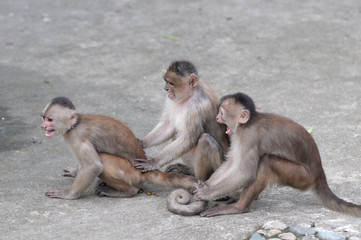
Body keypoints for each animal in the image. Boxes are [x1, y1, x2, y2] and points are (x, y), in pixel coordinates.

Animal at [40, 95, 197, 199]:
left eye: (50, 119)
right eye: (43, 117)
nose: (43, 126)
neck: (74, 125)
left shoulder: (76, 136)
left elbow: (93, 166)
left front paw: (67, 194)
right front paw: (74, 172)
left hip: (131, 174)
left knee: (103, 160)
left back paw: (128, 191)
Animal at [167, 92, 360, 218]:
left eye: (221, 112)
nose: (217, 118)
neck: (248, 123)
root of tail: (320, 172)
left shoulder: (249, 136)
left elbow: (245, 172)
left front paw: (207, 192)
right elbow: (232, 163)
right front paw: (204, 185)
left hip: (302, 177)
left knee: (266, 162)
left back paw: (239, 207)